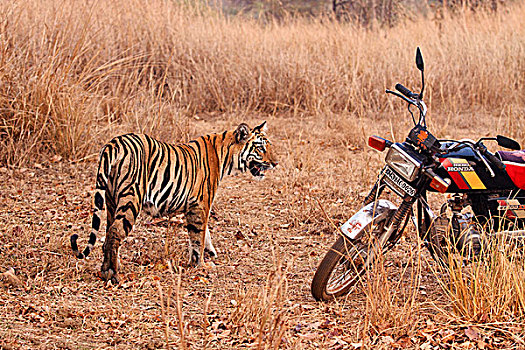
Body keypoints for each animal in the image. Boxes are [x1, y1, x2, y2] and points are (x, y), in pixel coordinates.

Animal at [71, 121, 280, 284]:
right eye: (260, 148)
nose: (276, 163)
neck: (225, 156)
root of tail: (114, 144)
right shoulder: (200, 204)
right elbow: (198, 235)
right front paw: (200, 265)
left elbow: (205, 233)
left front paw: (209, 252)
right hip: (131, 198)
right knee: (115, 232)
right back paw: (113, 275)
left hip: (111, 200)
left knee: (107, 234)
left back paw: (106, 269)